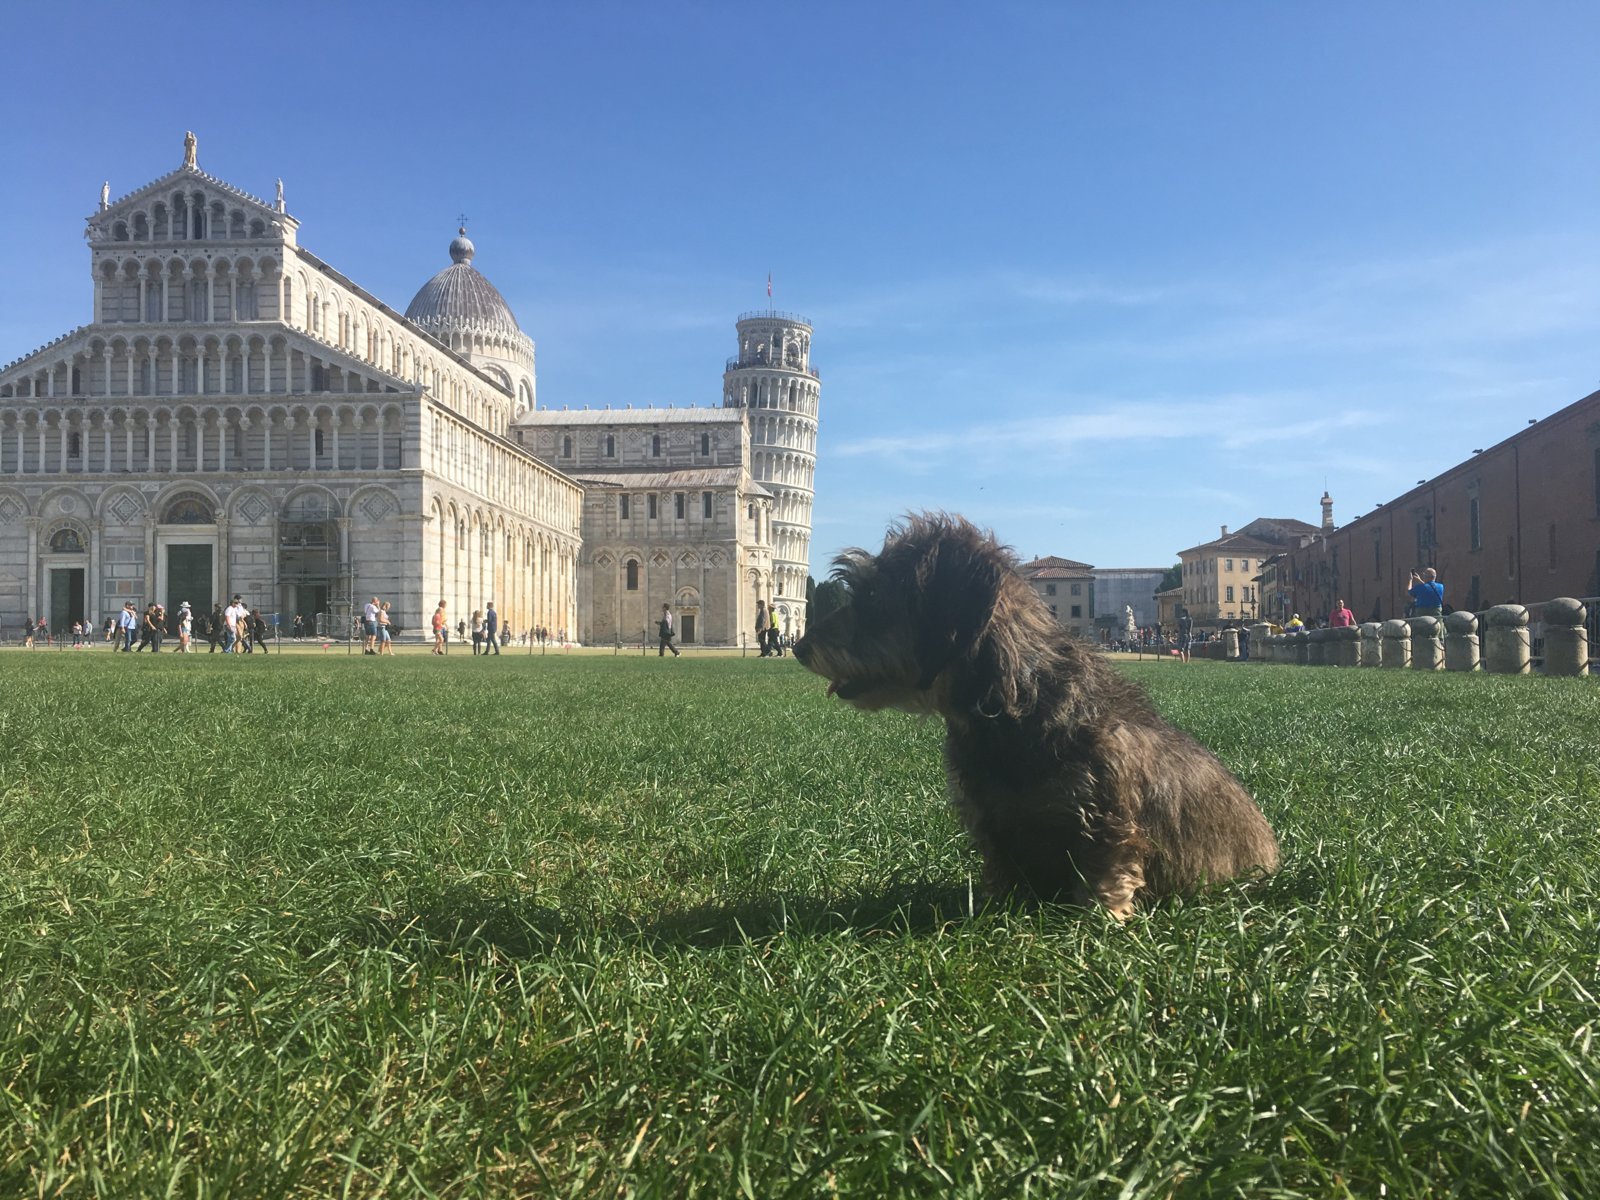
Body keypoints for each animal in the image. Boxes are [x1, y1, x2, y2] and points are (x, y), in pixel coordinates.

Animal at [793, 512, 1280, 915]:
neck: (1016, 704)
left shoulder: (1106, 826)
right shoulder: (993, 825)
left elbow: (1103, 885)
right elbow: (1002, 878)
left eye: (873, 595)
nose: (798, 648)